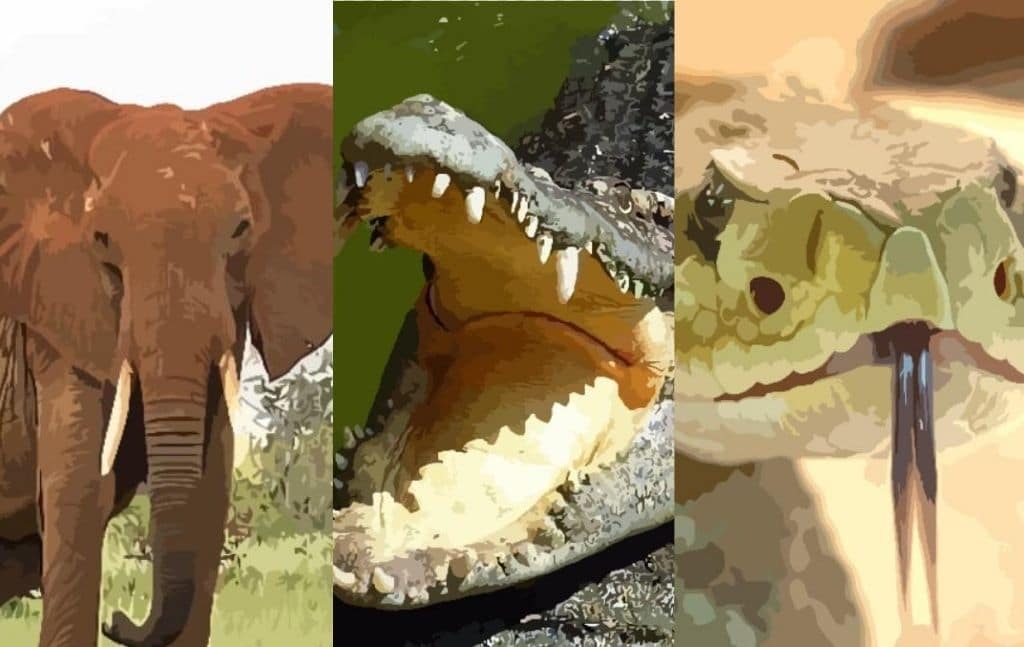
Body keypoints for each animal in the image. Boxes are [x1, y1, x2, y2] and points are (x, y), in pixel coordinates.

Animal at [0, 83, 332, 646]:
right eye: (101, 240)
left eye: (241, 230)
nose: (118, 620)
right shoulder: (57, 316)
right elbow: (79, 493)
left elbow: (207, 498)